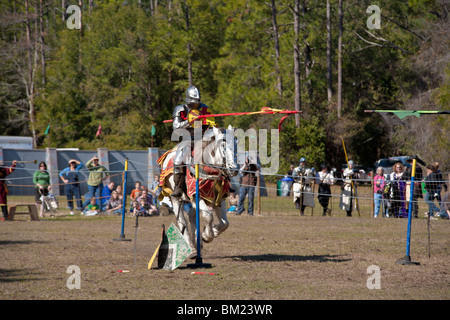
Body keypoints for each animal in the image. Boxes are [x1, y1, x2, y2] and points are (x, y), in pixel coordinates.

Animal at [159, 125, 239, 258]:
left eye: (236, 144)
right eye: (223, 145)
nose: (234, 169)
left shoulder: (220, 198)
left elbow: (225, 223)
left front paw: (211, 233)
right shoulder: (197, 196)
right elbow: (208, 216)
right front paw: (207, 235)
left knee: (192, 216)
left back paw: (197, 244)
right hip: (174, 198)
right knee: (182, 222)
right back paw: (192, 249)